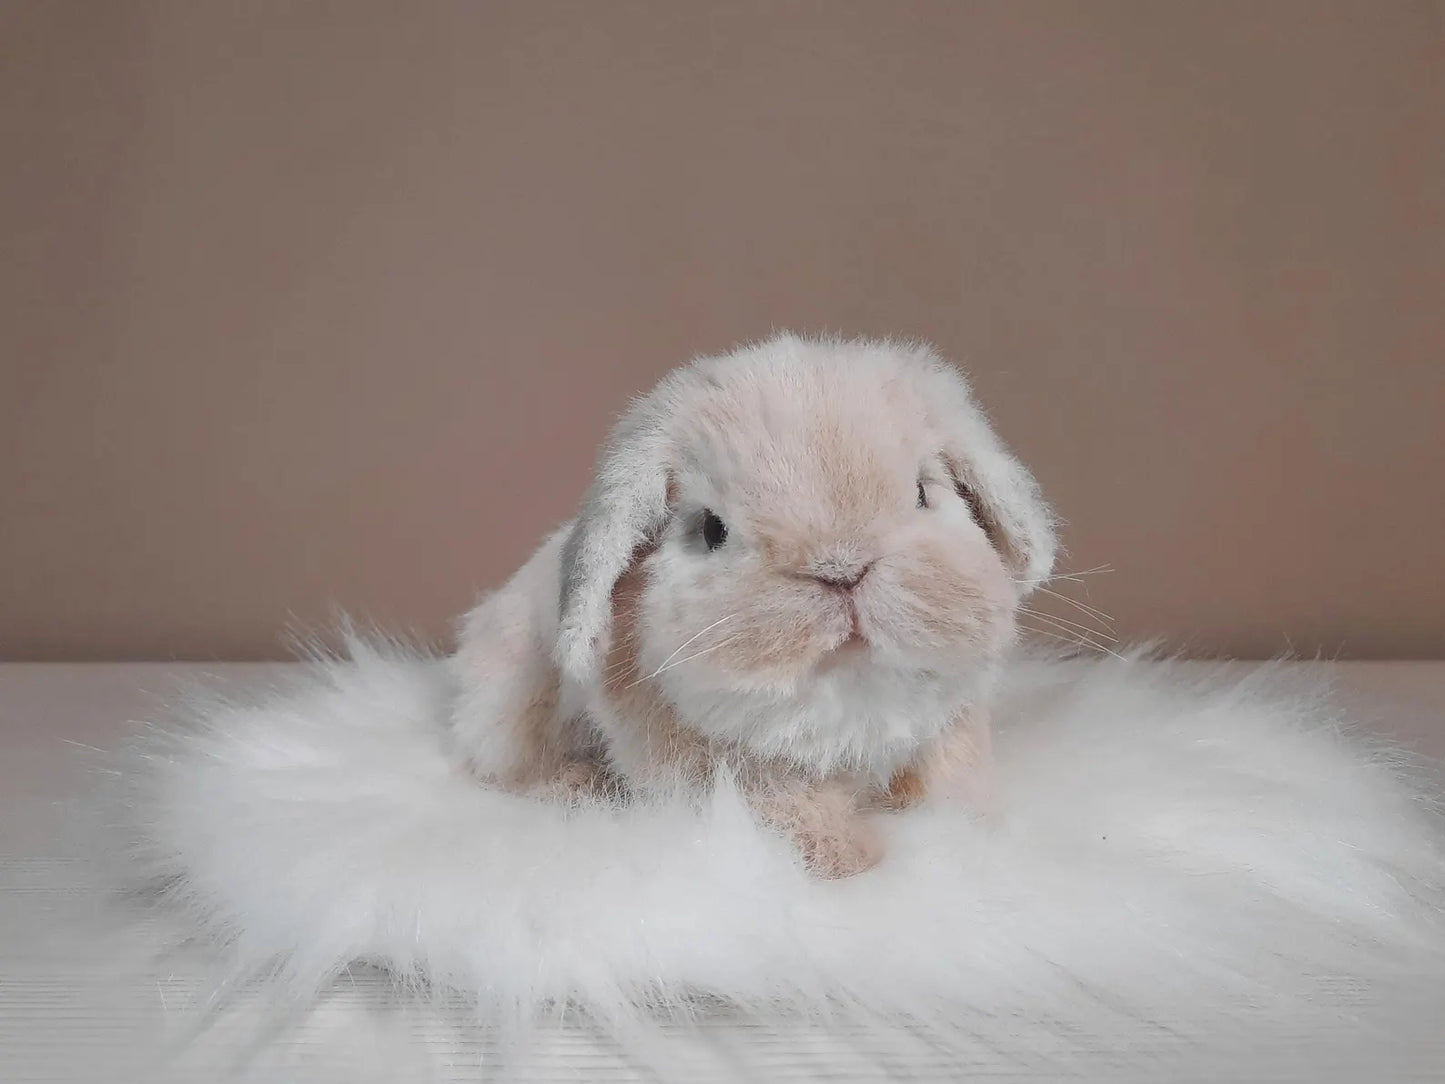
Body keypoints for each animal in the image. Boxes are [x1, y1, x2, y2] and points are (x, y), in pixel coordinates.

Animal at [448, 333, 1056, 878]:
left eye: (924, 492)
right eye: (710, 529)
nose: (842, 569)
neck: (848, 711)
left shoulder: (947, 736)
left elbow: (947, 788)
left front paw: (959, 827)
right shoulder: (728, 776)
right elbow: (791, 810)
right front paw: (847, 859)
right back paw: (579, 786)